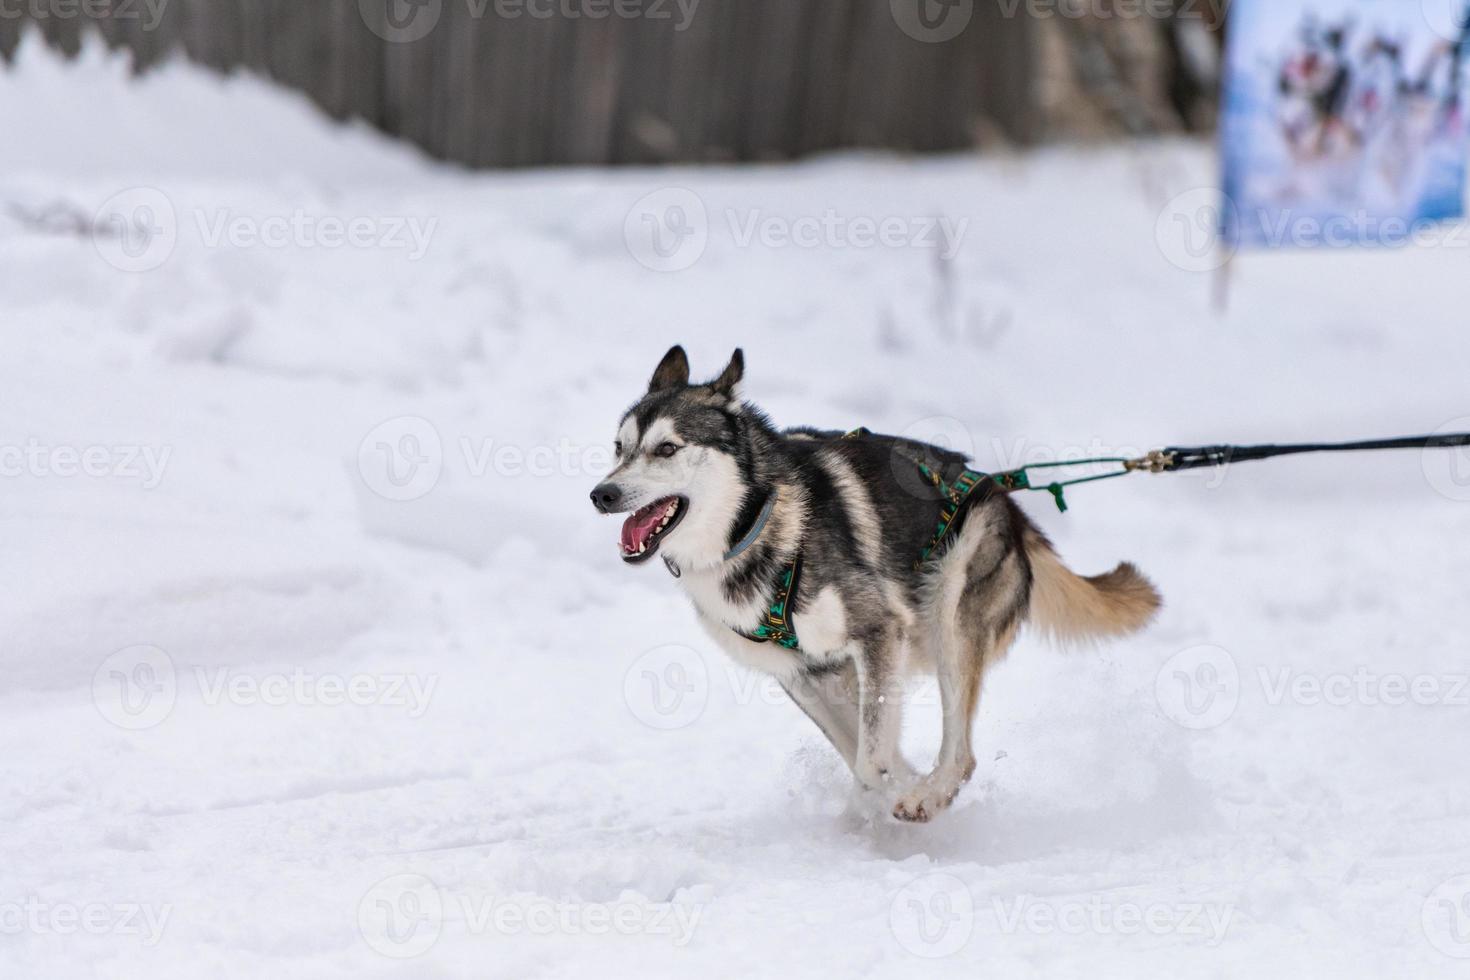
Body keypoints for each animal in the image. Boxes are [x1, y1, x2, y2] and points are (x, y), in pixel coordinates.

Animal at [588, 348, 1158, 822]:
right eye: (619, 448)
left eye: (667, 448)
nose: (602, 493)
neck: (757, 522)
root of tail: (1002, 496)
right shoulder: (804, 673)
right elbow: (862, 749)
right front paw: (881, 795)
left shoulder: (878, 632)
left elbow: (870, 758)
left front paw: (889, 796)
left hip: (950, 614)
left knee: (961, 754)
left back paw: (930, 796)